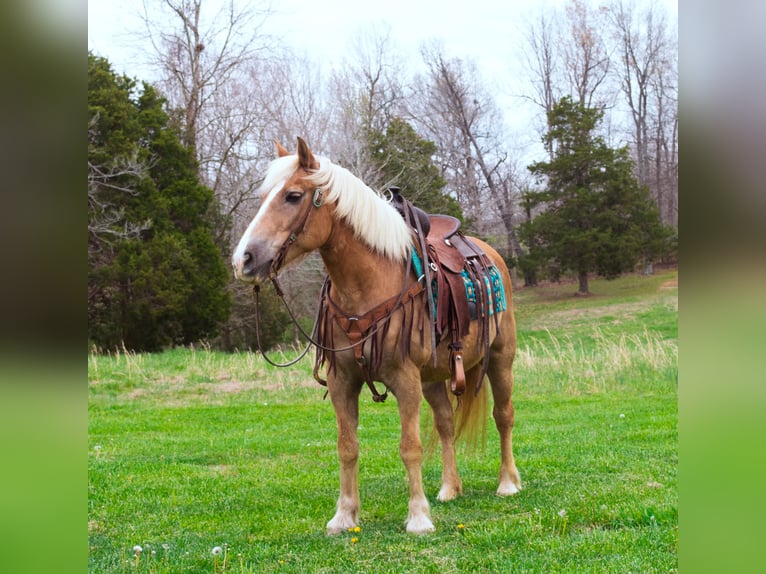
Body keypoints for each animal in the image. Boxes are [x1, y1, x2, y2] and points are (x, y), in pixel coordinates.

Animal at [232, 138, 520, 536]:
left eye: (293, 196)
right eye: (262, 196)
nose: (243, 259)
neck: (368, 285)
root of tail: (490, 253)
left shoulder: (404, 379)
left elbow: (410, 446)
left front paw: (418, 516)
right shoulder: (342, 380)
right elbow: (347, 446)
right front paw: (344, 515)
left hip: (501, 358)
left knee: (503, 415)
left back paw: (507, 482)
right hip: (434, 377)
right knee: (446, 425)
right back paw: (449, 488)